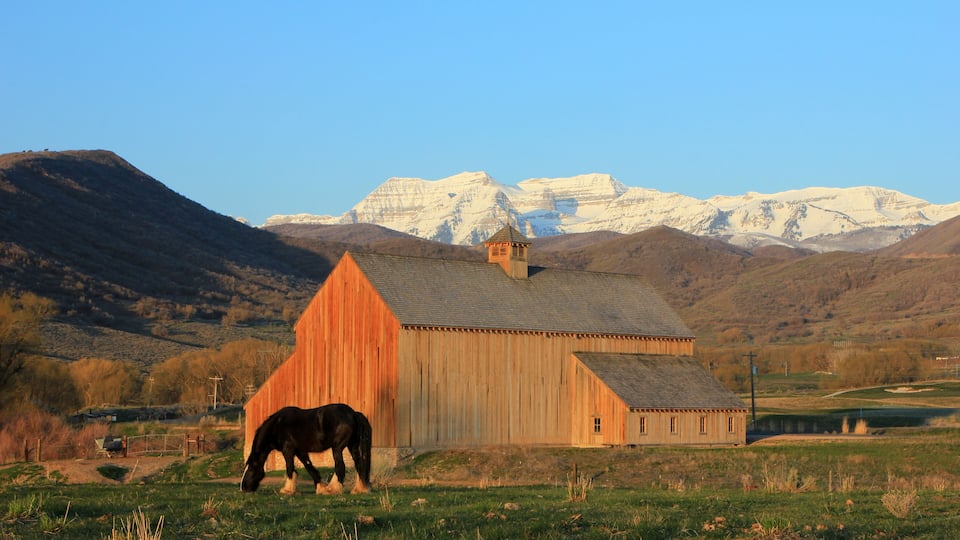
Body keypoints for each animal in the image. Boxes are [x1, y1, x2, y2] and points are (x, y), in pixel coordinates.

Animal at [241, 403, 372, 495]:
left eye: (251, 469)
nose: (243, 488)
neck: (277, 425)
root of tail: (353, 413)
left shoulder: (288, 450)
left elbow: (290, 468)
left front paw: (288, 490)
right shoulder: (300, 451)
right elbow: (309, 467)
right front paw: (320, 487)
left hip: (337, 448)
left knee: (340, 466)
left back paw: (332, 489)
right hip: (352, 446)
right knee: (359, 464)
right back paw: (359, 489)